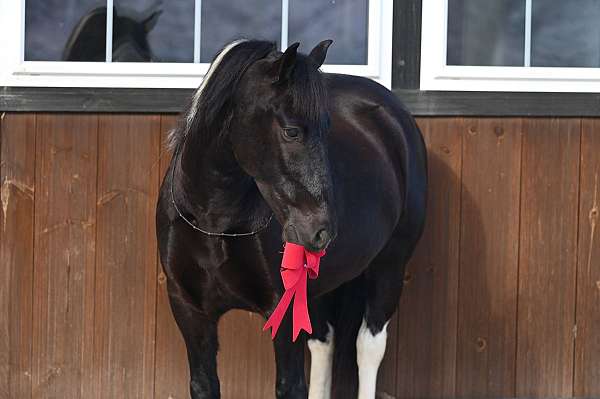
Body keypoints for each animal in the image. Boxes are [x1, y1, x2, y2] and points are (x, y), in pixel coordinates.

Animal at [155, 38, 426, 399]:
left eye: (327, 130)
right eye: (292, 131)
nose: (321, 230)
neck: (215, 222)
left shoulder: (282, 313)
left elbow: (290, 385)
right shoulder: (189, 310)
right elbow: (204, 384)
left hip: (389, 266)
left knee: (368, 347)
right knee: (325, 343)